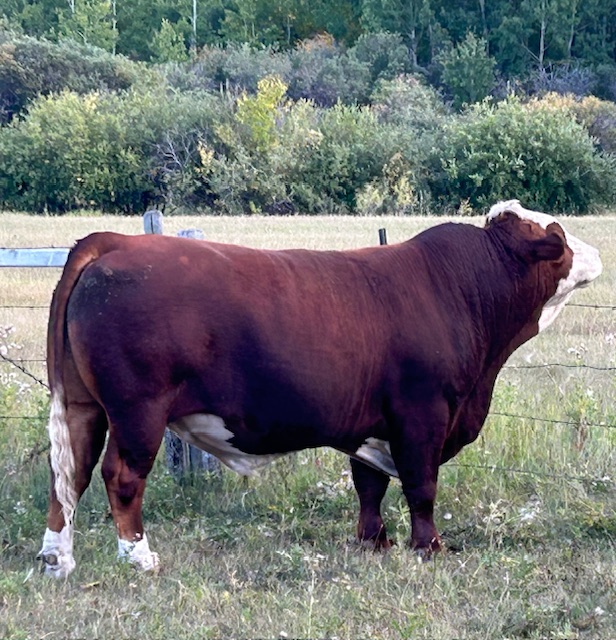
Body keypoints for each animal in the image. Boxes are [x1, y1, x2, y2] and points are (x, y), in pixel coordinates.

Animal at [38, 200, 602, 577]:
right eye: (556, 232)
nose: (596, 252)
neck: (463, 287)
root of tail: (118, 241)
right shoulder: (422, 414)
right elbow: (421, 486)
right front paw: (429, 546)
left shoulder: (372, 423)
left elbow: (369, 485)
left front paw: (373, 542)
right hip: (138, 411)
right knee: (121, 476)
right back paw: (139, 557)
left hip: (83, 406)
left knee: (69, 473)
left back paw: (56, 558)